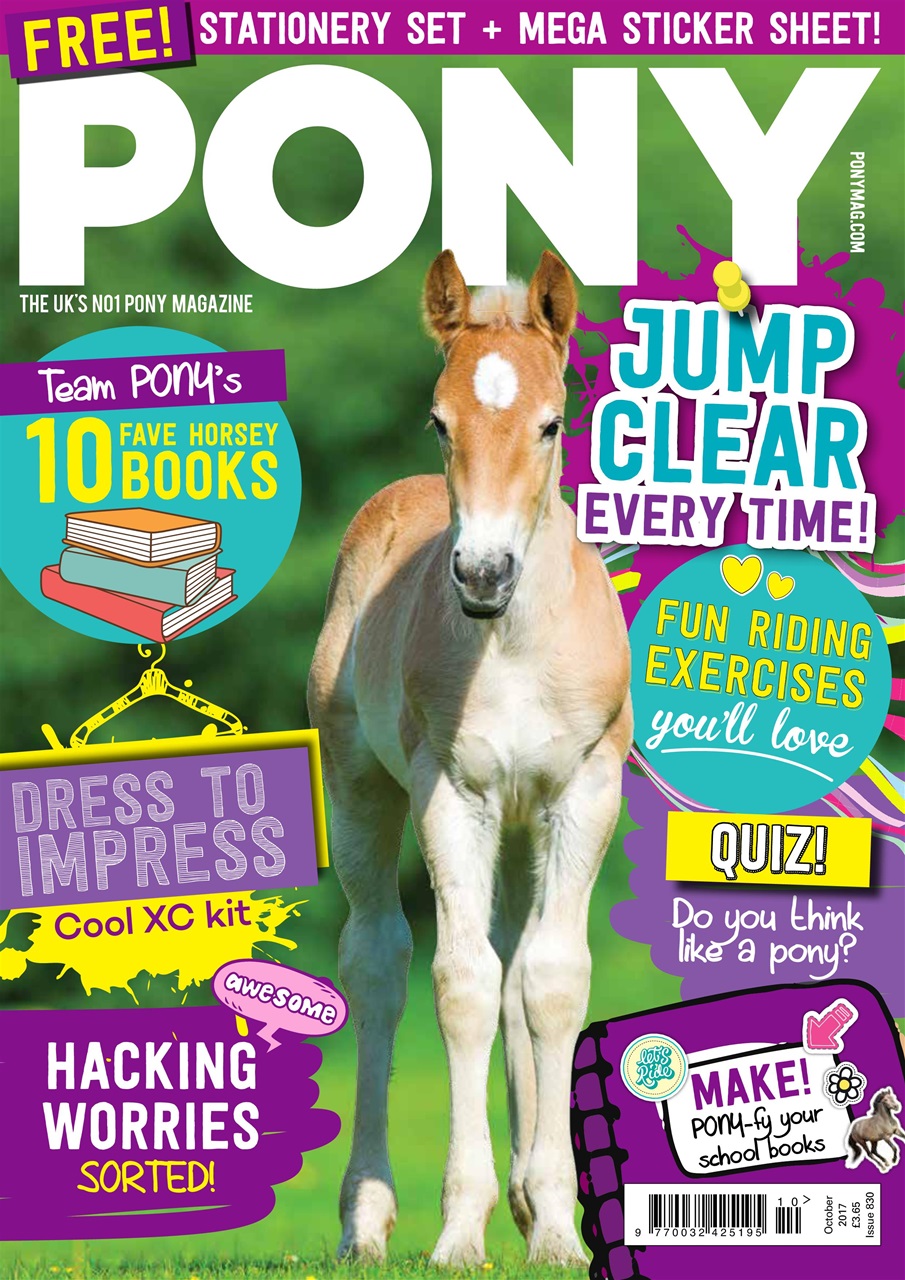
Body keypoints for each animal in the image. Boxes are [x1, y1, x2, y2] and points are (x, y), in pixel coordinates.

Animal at [308, 249, 631, 1267]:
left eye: (552, 422)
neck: (513, 643)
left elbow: (550, 981)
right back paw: (366, 1223)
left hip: (524, 825)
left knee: (519, 957)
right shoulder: (450, 793)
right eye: (437, 422)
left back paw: (528, 1206)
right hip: (360, 789)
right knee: (379, 962)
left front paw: (558, 1230)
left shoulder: (583, 793)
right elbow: (460, 985)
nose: (483, 575)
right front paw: (459, 1230)